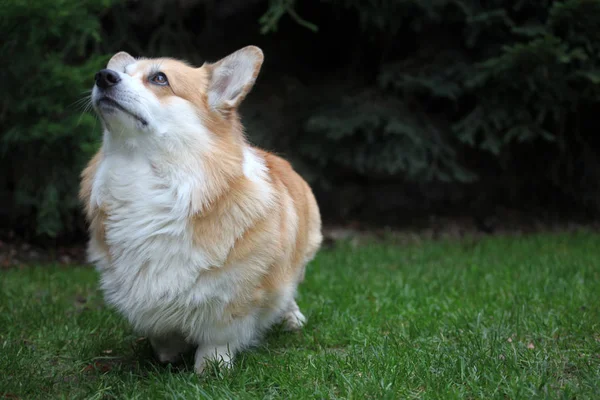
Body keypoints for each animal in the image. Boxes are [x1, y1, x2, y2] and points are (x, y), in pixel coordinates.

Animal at [81, 47, 324, 376]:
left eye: (159, 78)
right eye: (122, 72)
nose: (103, 76)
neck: (146, 172)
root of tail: (280, 158)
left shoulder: (233, 292)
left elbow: (219, 334)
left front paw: (211, 366)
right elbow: (160, 329)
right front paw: (168, 352)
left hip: (301, 256)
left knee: (289, 290)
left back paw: (292, 319)